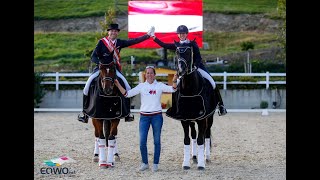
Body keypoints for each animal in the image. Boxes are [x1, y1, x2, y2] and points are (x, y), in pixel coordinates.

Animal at [166, 41, 219, 170]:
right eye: (176, 52)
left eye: (189, 52)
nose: (181, 70)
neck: (190, 89)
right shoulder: (184, 119)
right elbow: (187, 139)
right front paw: (185, 163)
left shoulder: (202, 118)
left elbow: (201, 140)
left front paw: (201, 165)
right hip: (191, 119)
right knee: (194, 134)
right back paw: (194, 157)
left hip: (209, 117)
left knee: (207, 134)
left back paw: (206, 158)